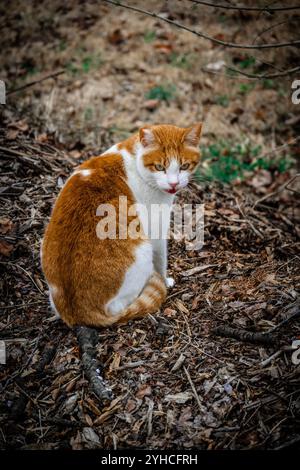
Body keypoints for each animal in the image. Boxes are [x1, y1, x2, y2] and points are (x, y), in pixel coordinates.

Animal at [41, 122, 203, 326]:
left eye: (184, 166)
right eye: (159, 167)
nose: (173, 184)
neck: (134, 158)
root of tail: (79, 313)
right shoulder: (156, 230)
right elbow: (161, 261)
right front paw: (165, 280)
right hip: (142, 250)